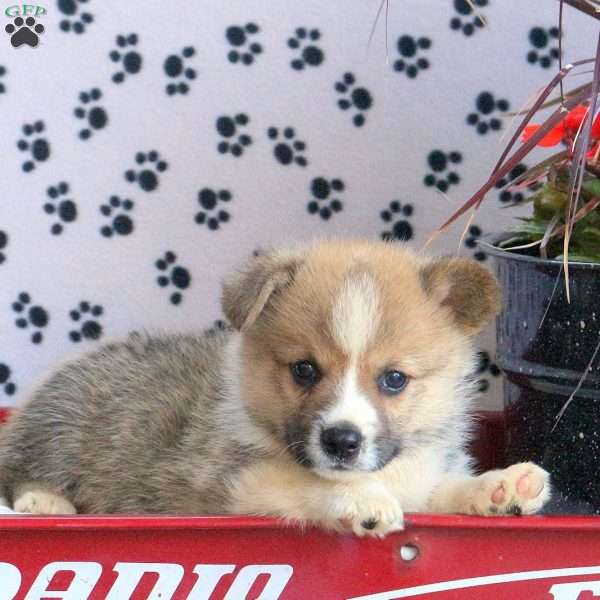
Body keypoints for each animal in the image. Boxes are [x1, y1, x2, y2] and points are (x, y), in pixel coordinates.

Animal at [0, 239, 548, 536]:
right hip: (63, 429)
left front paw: (501, 486)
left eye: (394, 379)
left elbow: (441, 490)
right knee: (20, 469)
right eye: (304, 370)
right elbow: (312, 485)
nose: (342, 441)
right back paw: (44, 504)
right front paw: (362, 502)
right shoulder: (235, 482)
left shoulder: (420, 476)